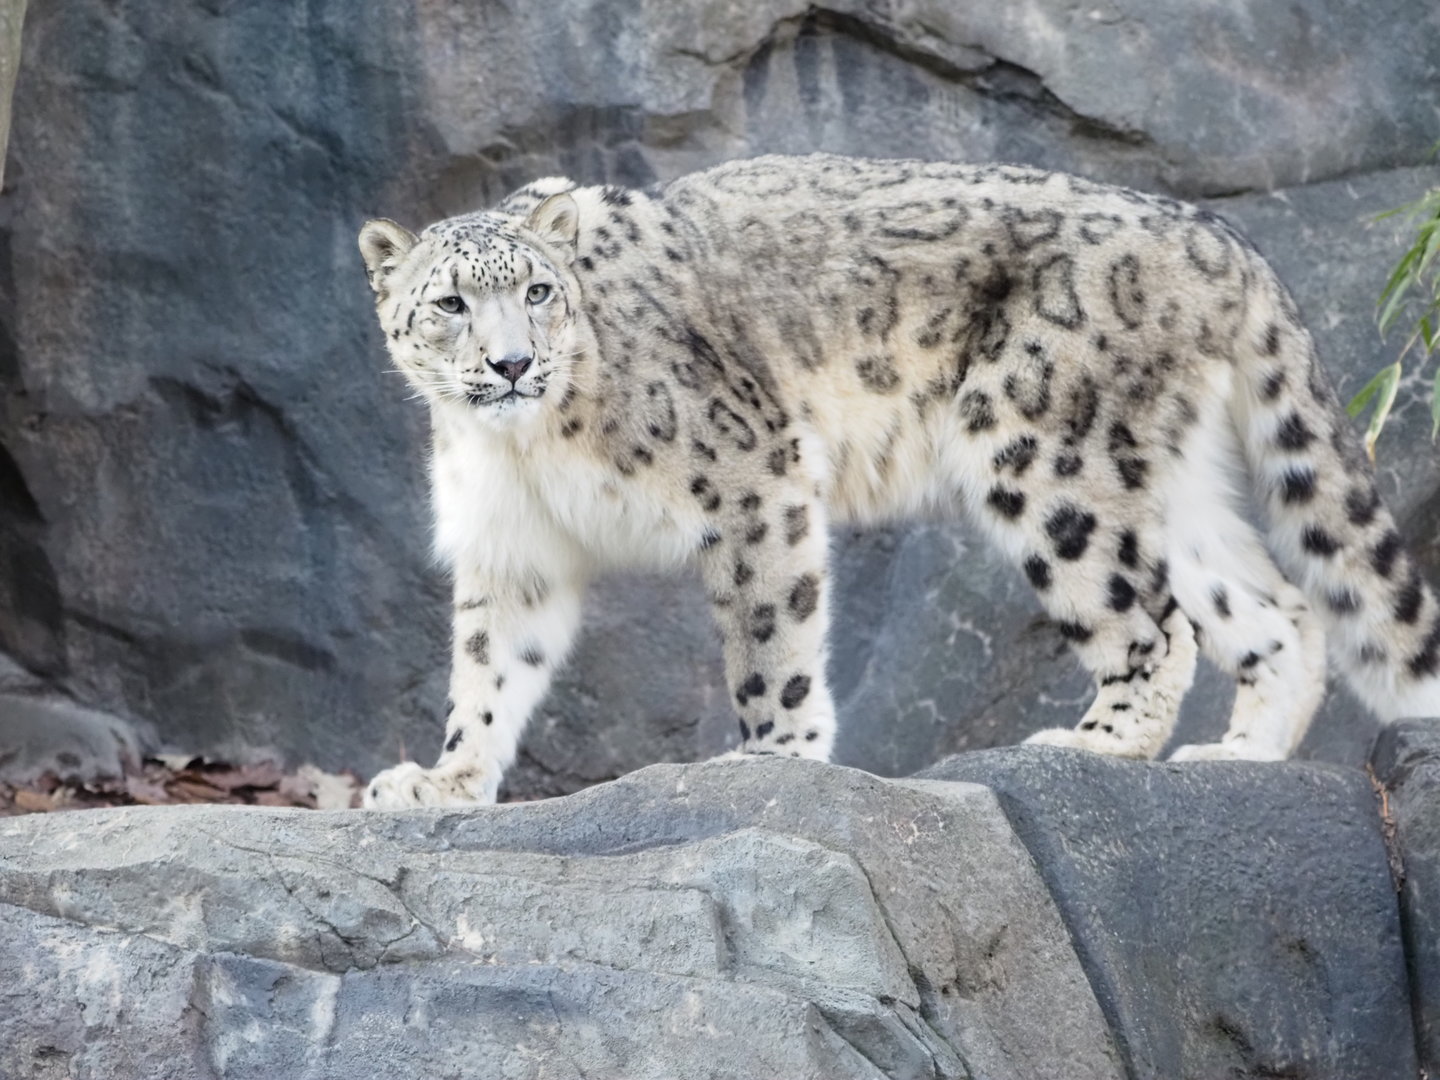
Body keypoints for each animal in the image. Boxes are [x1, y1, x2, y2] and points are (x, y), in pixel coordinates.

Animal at [356, 153, 1440, 808]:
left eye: (539, 290)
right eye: (450, 304)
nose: (511, 365)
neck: (524, 447)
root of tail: (1212, 237)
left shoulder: (752, 478)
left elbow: (770, 632)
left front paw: (774, 754)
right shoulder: (514, 551)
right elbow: (490, 670)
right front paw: (441, 782)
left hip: (1044, 451)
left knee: (1151, 620)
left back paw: (1093, 744)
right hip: (1167, 477)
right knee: (1276, 609)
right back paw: (1236, 757)